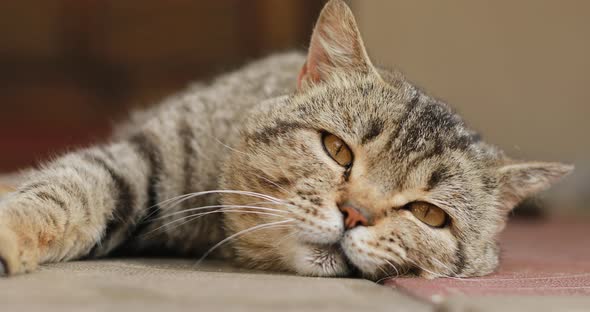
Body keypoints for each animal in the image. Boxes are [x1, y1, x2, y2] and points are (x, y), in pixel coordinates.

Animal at [0, 0, 572, 280]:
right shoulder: (144, 155)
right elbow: (65, 191)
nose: (355, 214)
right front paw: (13, 229)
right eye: (337, 150)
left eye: (429, 215)